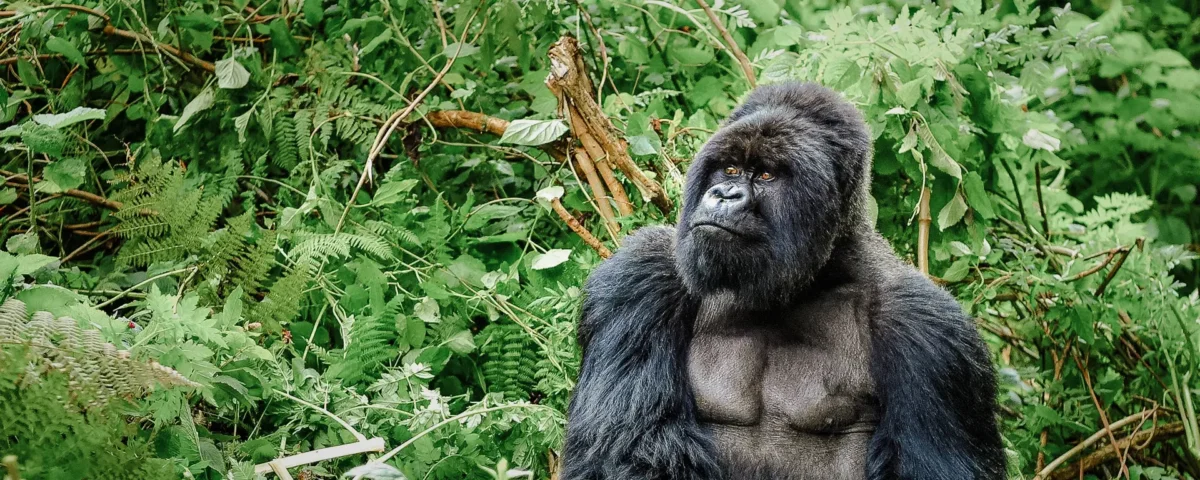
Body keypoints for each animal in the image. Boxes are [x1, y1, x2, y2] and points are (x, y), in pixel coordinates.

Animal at [560, 81, 1004, 479]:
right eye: (730, 169)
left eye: (767, 176)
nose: (724, 195)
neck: (808, 279)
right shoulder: (640, 277)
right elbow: (626, 453)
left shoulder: (928, 330)